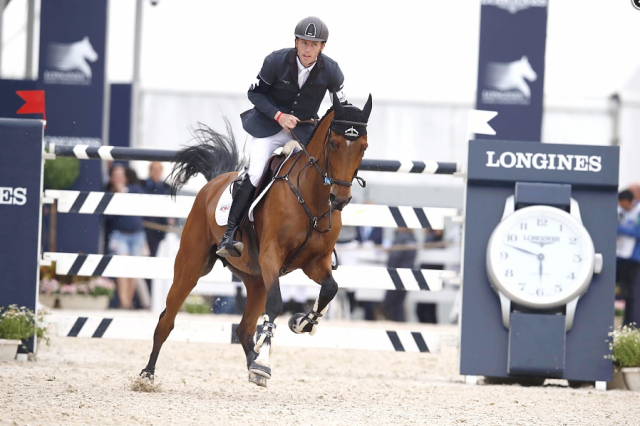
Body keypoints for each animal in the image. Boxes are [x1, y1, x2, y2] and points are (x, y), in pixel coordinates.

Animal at [139, 93, 370, 386]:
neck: (311, 196)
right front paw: (269, 353)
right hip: (191, 267)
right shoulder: (271, 255)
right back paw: (147, 374)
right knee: (167, 319)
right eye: (333, 143)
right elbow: (277, 303)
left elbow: (330, 288)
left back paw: (256, 364)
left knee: (244, 328)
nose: (340, 199)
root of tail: (214, 183)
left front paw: (301, 322)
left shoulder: (315, 262)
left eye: (363, 147)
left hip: (256, 279)